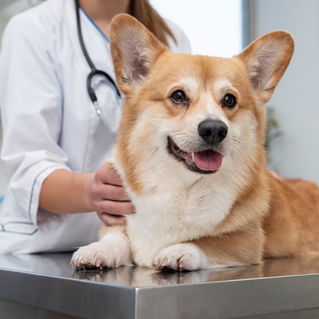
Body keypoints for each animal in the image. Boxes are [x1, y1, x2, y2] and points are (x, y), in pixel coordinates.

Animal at [71, 14, 319, 270]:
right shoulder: (120, 218)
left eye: (229, 100)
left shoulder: (248, 241)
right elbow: (116, 235)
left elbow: (208, 241)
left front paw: (179, 250)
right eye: (178, 96)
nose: (214, 130)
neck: (183, 186)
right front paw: (99, 250)